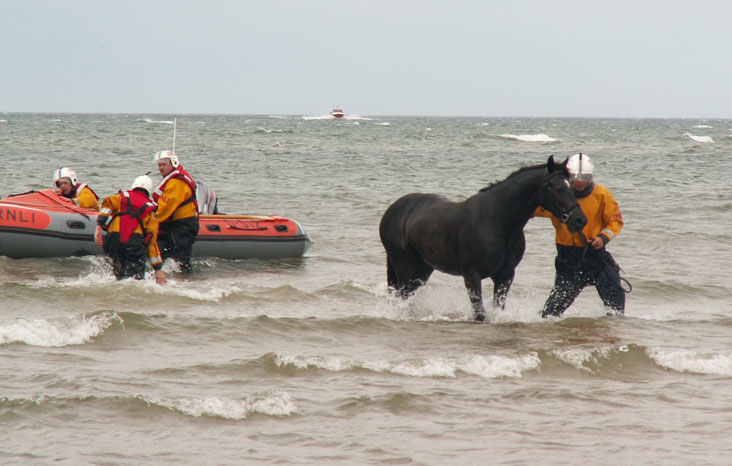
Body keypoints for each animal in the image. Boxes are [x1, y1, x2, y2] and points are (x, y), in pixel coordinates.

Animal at [380, 157, 588, 320]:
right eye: (557, 188)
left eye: (572, 186)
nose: (580, 220)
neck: (497, 221)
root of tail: (394, 209)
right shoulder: (472, 275)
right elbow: (479, 314)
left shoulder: (505, 275)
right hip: (405, 267)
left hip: (422, 269)